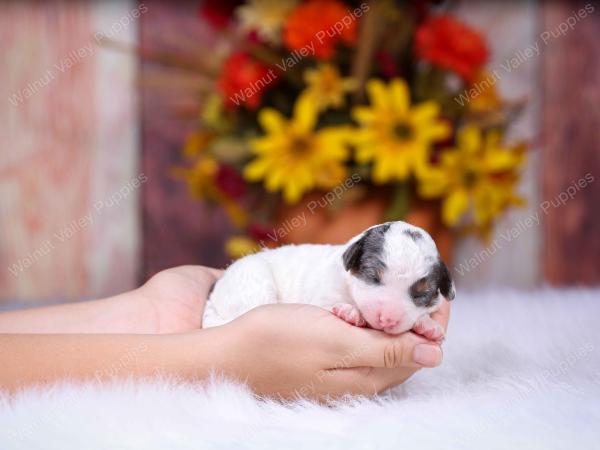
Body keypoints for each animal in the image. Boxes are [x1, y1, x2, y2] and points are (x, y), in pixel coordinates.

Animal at [204, 221, 458, 342]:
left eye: (420, 293)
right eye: (373, 276)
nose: (387, 319)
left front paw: (428, 324)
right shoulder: (322, 294)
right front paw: (351, 312)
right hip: (252, 282)